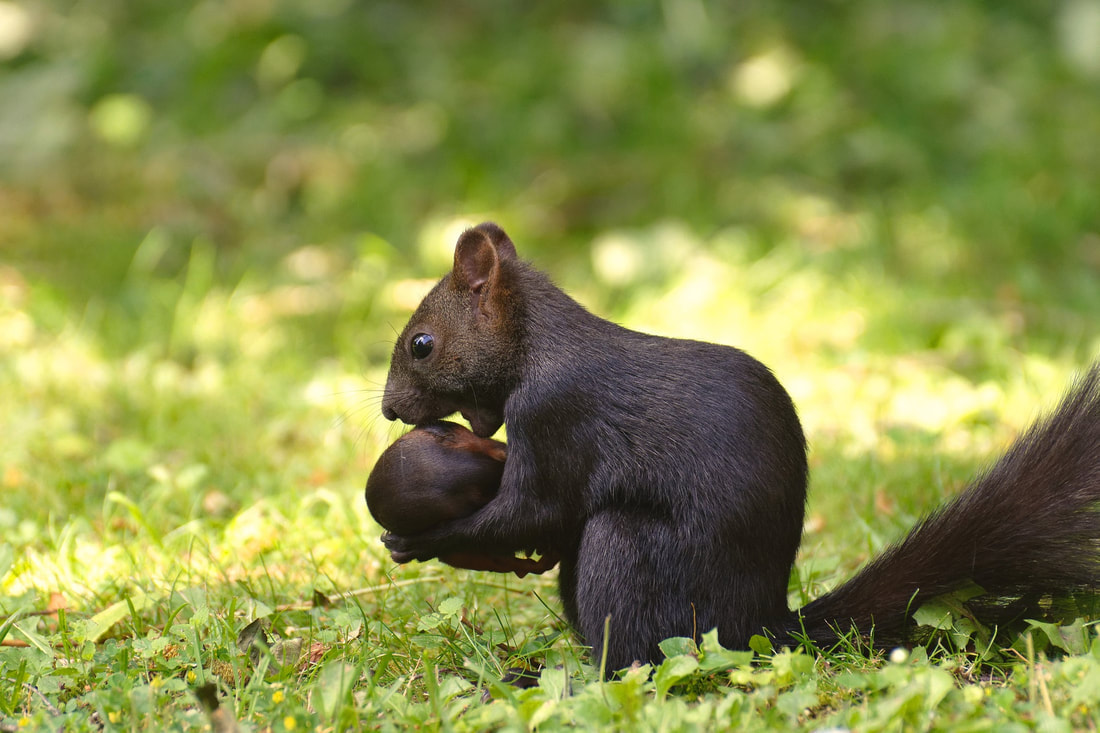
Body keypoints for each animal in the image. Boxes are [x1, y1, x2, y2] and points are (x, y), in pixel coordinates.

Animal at [376, 221, 1100, 669]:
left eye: (422, 343)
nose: (388, 408)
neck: (536, 346)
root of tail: (764, 624)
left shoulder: (556, 416)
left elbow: (536, 508)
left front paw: (422, 539)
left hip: (631, 556)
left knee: (636, 655)